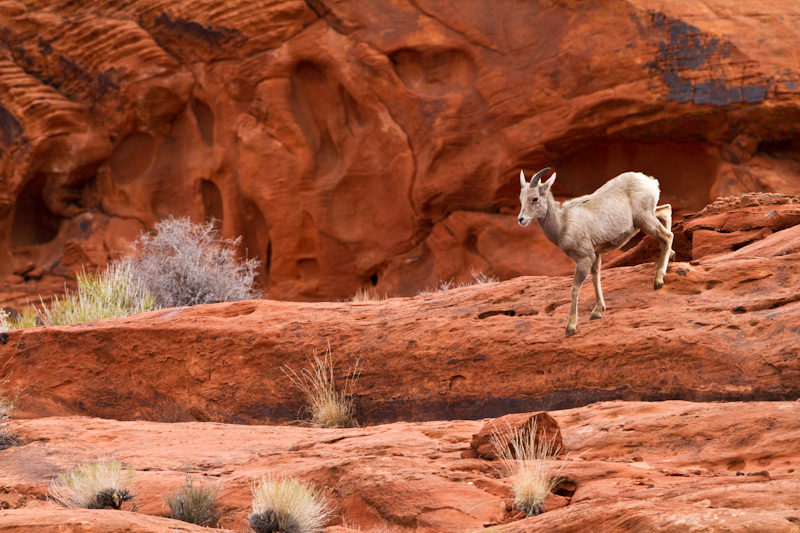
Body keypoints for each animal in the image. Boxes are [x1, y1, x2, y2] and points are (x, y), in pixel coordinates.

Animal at [520, 168, 676, 334]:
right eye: (521, 198)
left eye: (535, 198)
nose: (521, 219)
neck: (563, 225)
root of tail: (651, 182)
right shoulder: (595, 255)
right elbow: (596, 278)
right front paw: (597, 311)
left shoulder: (584, 259)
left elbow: (575, 289)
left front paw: (571, 327)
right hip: (646, 218)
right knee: (666, 211)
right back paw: (672, 256)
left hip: (644, 220)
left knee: (667, 236)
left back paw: (658, 281)